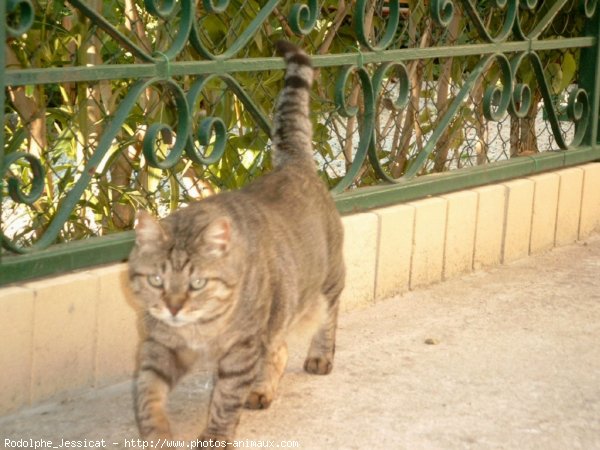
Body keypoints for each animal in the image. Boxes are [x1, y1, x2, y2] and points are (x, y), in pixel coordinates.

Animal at [130, 41, 346, 446]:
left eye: (198, 282)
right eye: (156, 280)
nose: (174, 307)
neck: (200, 330)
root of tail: (294, 164)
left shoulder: (241, 350)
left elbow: (226, 398)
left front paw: (215, 436)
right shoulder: (160, 347)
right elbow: (147, 393)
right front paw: (157, 433)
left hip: (328, 284)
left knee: (327, 321)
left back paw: (319, 357)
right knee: (278, 348)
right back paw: (262, 390)